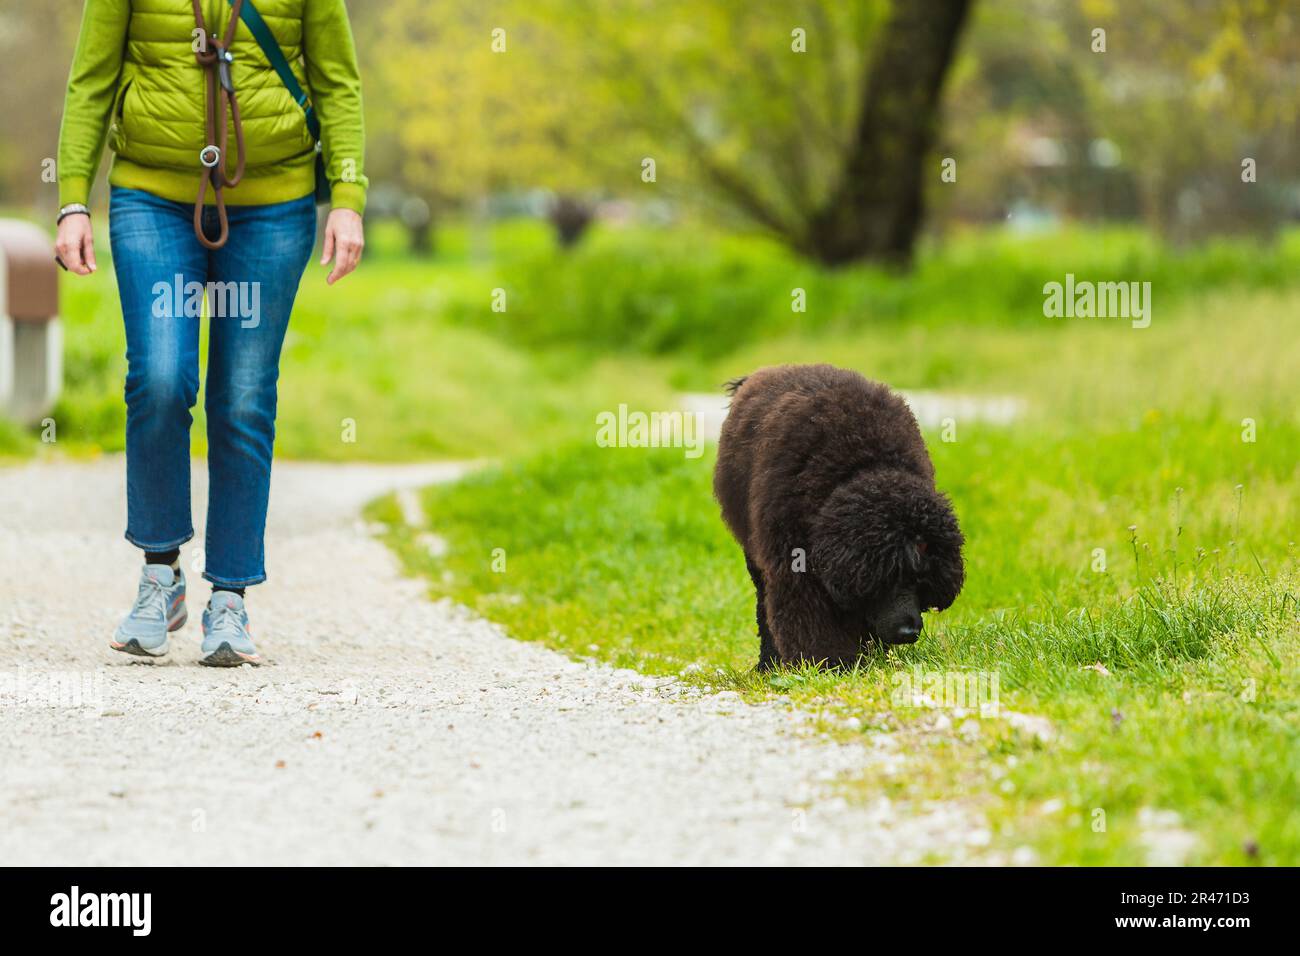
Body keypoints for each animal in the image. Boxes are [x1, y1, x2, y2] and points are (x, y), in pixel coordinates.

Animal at [717, 361, 961, 671]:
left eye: (921, 578)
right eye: (884, 580)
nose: (909, 631)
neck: (864, 469)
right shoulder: (794, 562)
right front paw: (826, 663)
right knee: (764, 607)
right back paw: (767, 664)